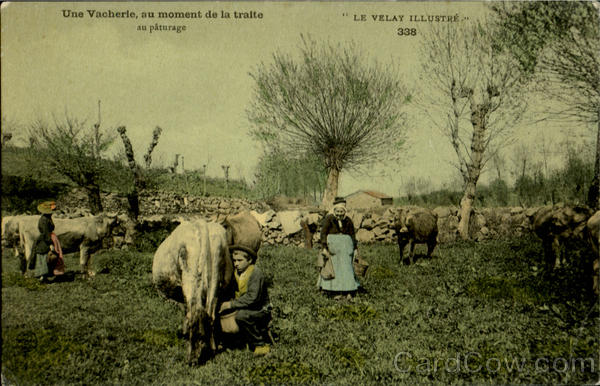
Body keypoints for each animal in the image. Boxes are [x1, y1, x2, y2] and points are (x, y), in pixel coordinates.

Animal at [151, 211, 262, 364]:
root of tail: (202, 226)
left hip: (190, 279)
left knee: (194, 313)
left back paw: (192, 356)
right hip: (215, 278)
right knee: (210, 314)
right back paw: (212, 348)